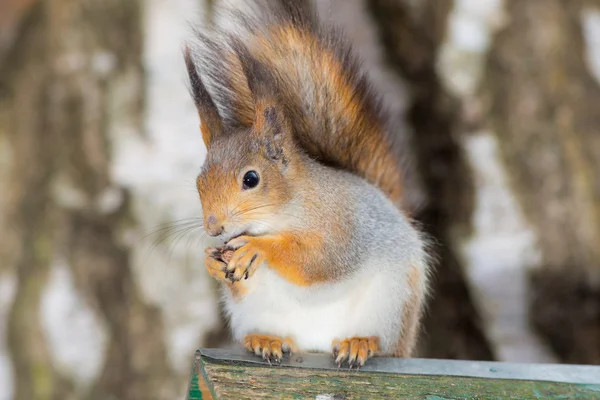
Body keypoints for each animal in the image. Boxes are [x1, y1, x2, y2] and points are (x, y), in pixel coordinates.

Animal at [184, 1, 432, 368]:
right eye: (199, 181)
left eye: (251, 179)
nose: (214, 227)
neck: (283, 212)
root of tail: (317, 345)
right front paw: (211, 261)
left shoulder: (342, 227)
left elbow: (319, 261)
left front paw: (258, 248)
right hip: (255, 312)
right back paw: (267, 340)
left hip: (393, 302)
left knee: (382, 340)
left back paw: (360, 343)